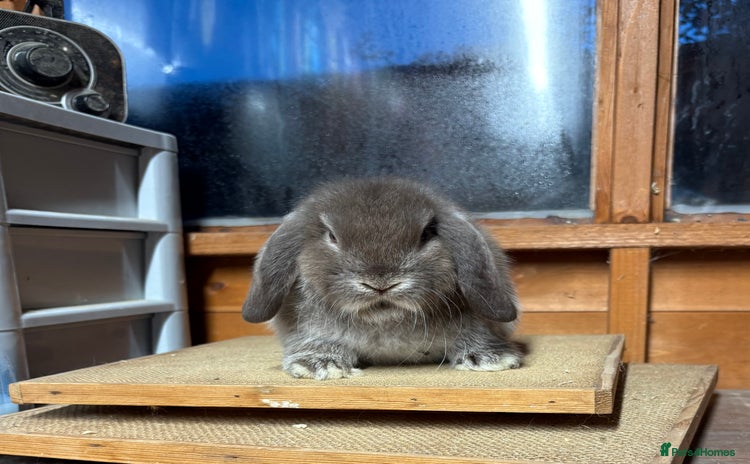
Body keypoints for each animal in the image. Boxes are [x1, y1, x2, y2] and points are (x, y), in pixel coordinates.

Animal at [242, 177, 522, 380]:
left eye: (426, 234)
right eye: (332, 236)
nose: (380, 283)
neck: (385, 321)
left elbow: (476, 335)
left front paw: (490, 359)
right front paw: (319, 364)